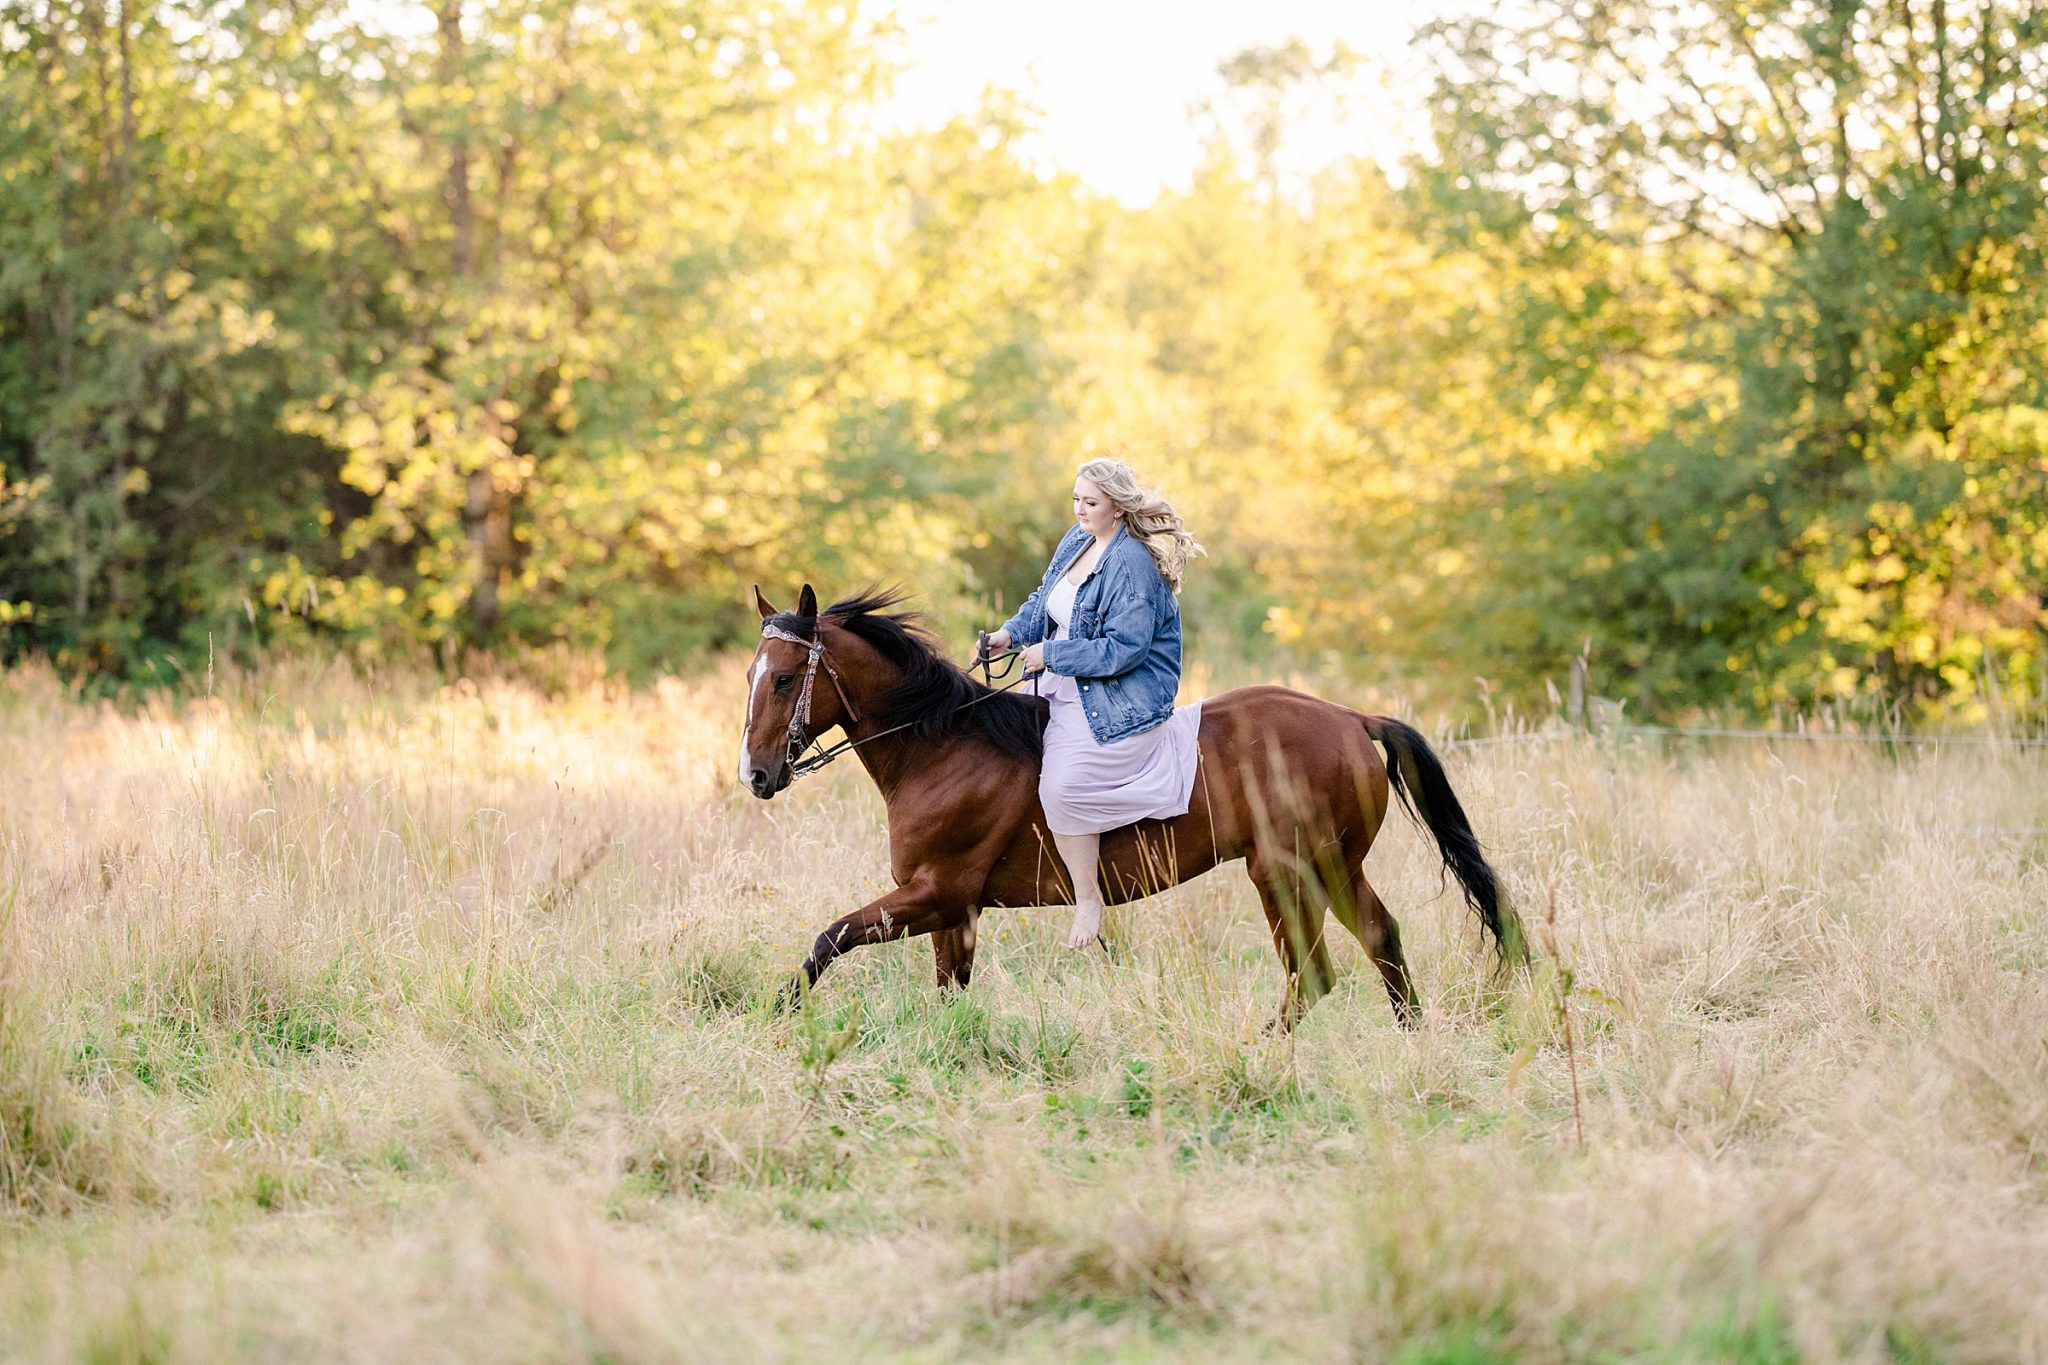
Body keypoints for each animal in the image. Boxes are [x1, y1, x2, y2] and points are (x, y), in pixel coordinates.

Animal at [737, 585, 1523, 1023]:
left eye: (783, 679)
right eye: (753, 674)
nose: (756, 774)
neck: (944, 745)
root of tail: (1353, 718)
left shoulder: (936, 892)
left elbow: (827, 940)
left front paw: (775, 1017)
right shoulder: (953, 911)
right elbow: (947, 991)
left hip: (1284, 869)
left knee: (1315, 970)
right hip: (1333, 865)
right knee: (1379, 939)